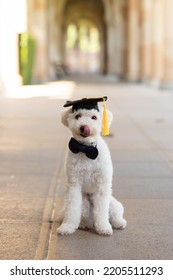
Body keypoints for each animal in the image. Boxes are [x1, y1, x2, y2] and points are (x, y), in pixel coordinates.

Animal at [57, 99, 126, 235]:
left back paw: (119, 223)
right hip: (82, 204)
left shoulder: (102, 185)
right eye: (77, 116)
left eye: (94, 117)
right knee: (81, 216)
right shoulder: (74, 184)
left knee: (115, 214)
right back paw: (83, 224)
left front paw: (104, 227)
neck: (86, 149)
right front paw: (67, 226)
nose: (84, 127)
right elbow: (72, 209)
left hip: (112, 204)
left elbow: (102, 210)